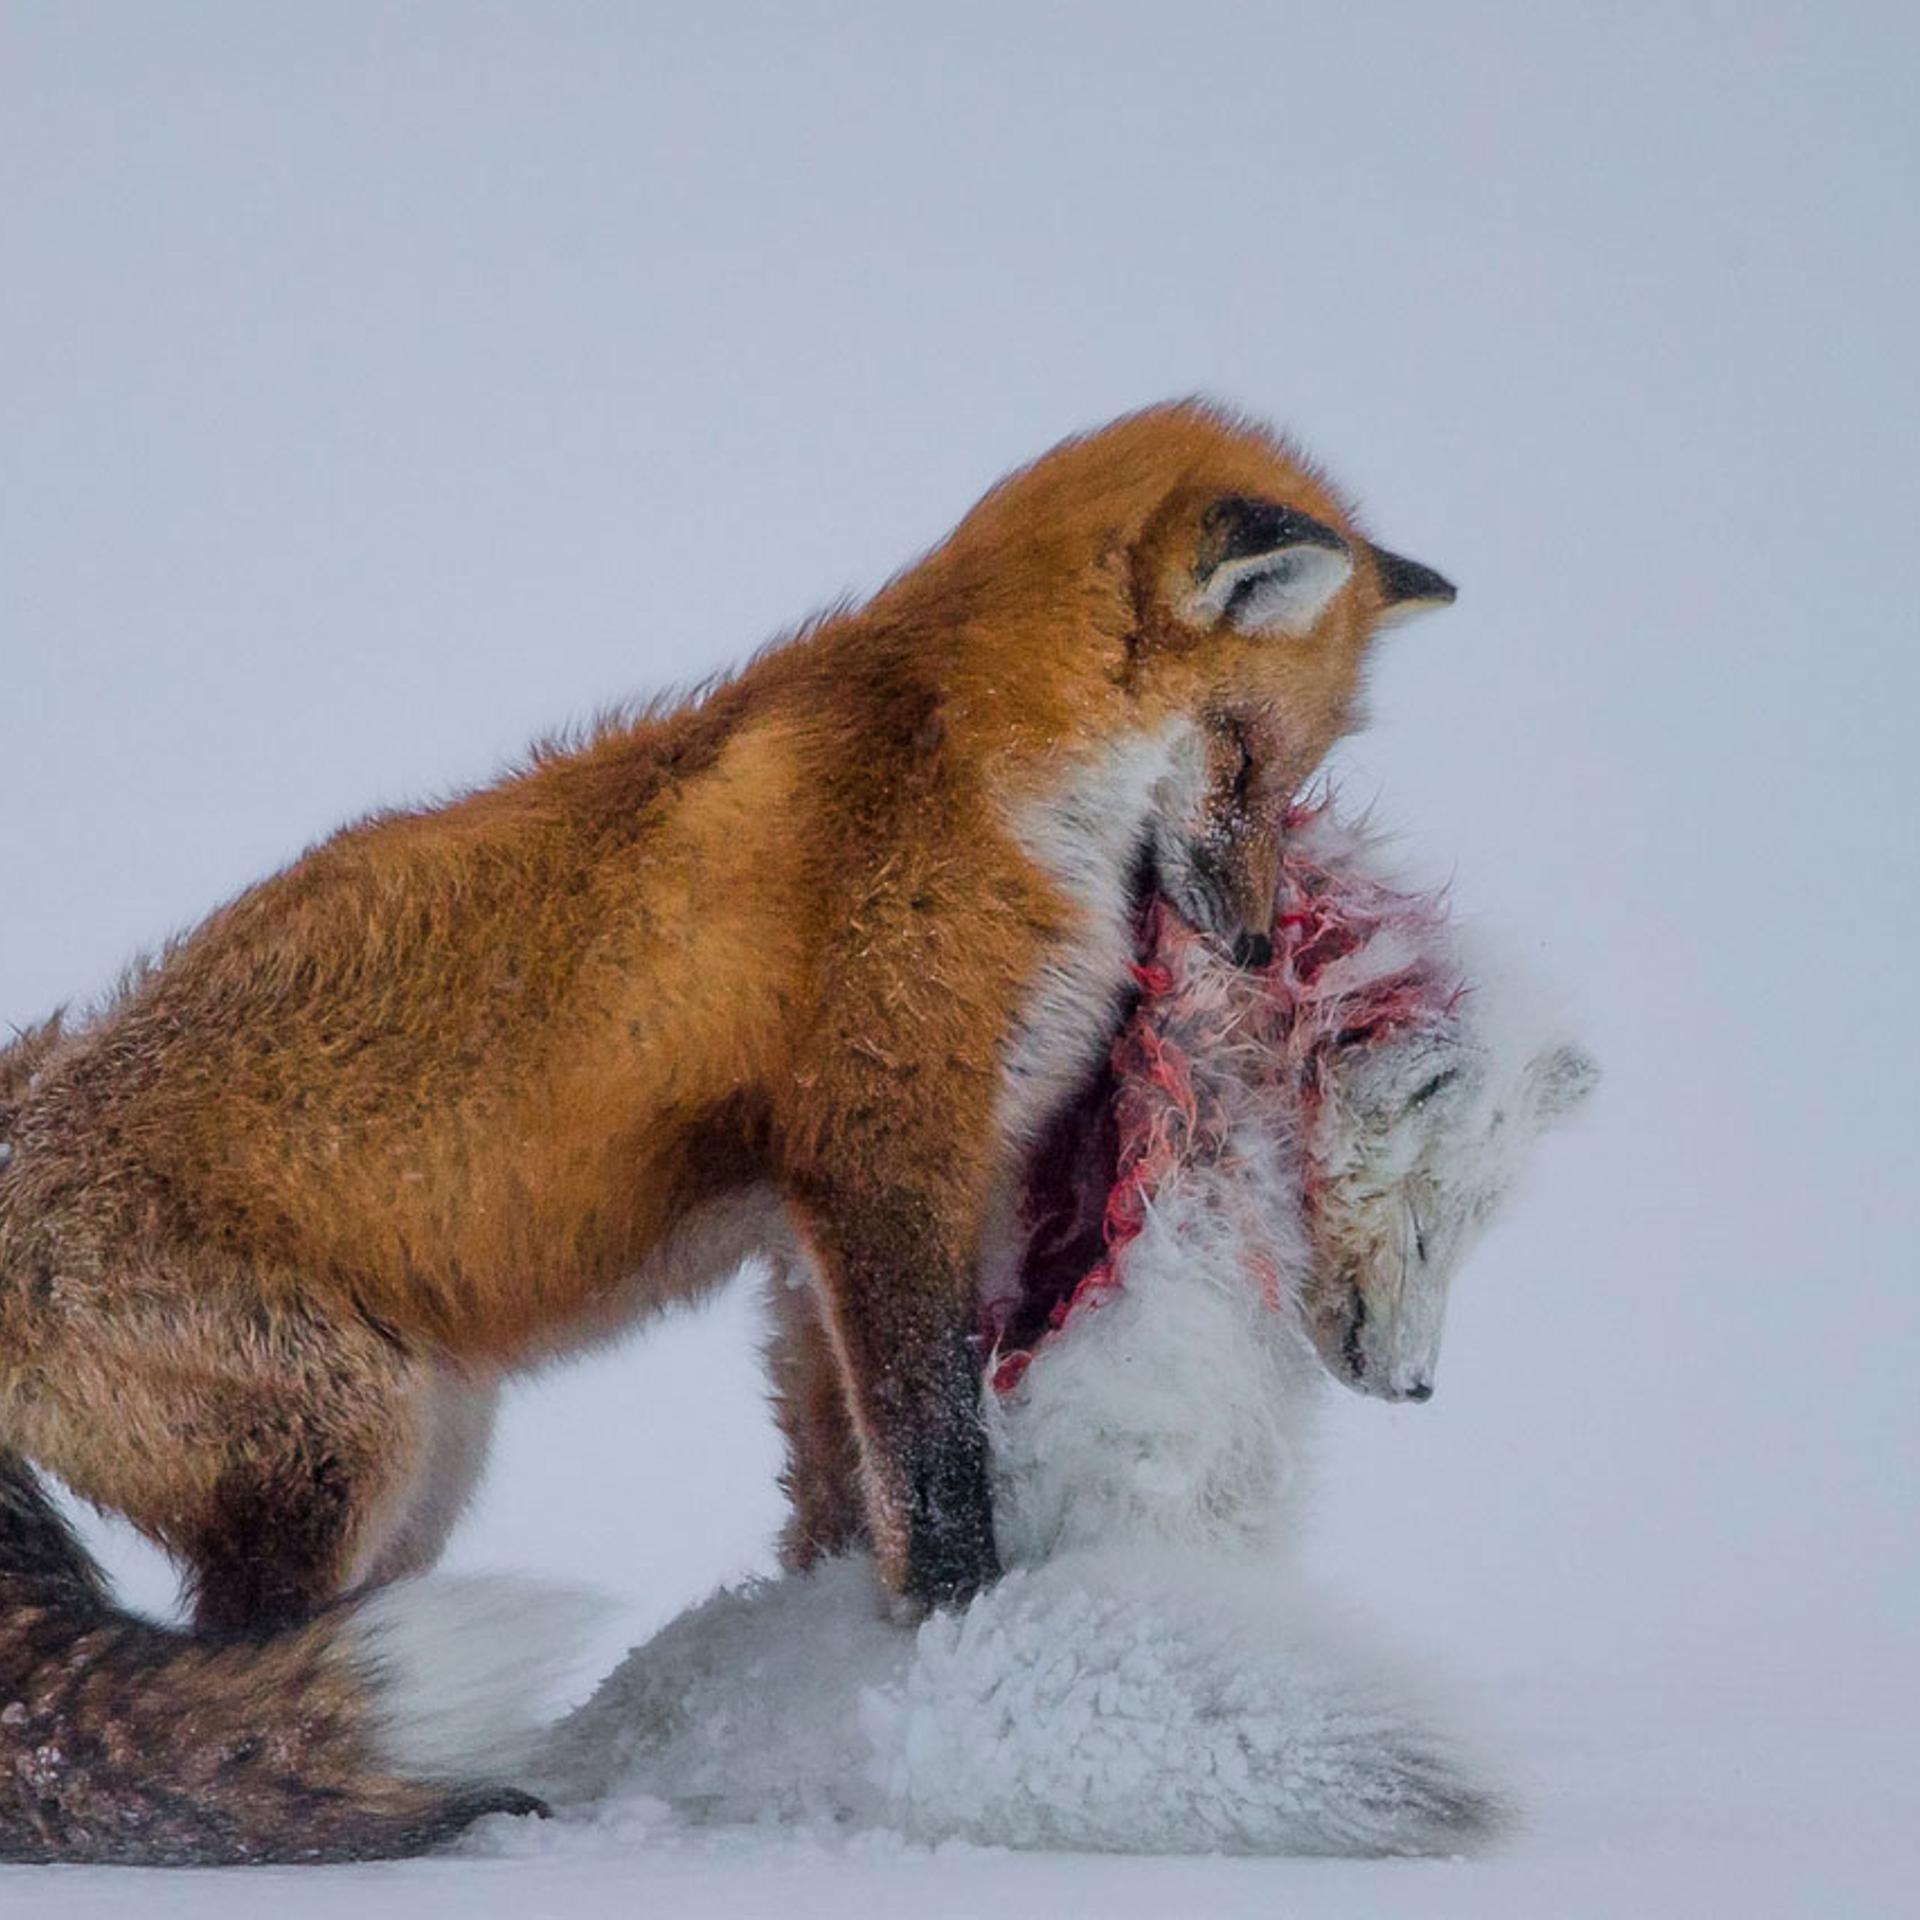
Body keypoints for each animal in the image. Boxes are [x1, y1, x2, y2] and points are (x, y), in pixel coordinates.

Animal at [0, 399, 1453, 1861]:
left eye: (1299, 773)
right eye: (1245, 755)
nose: (1257, 945)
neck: (987, 776)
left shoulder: (828, 1233)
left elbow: (840, 1491)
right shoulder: (881, 1162)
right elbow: (936, 1480)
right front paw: (963, 1647)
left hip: (427, 1463)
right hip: (356, 1449)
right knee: (242, 1699)